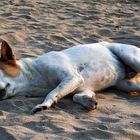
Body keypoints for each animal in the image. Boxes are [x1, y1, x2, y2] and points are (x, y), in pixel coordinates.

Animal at [0, 40, 139, 113]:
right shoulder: (82, 87)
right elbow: (76, 96)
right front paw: (89, 101)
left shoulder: (73, 77)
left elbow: (52, 92)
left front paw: (44, 104)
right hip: (126, 85)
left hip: (130, 57)